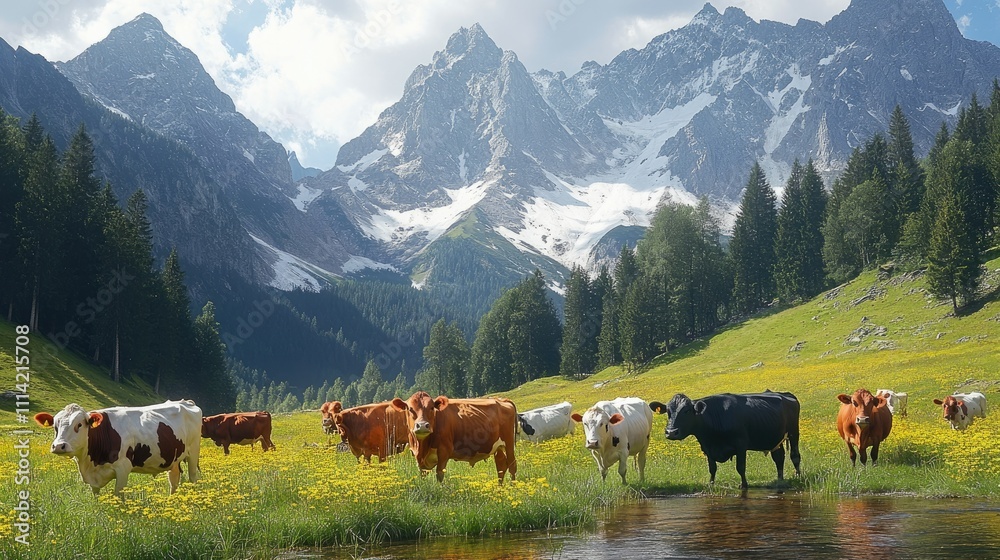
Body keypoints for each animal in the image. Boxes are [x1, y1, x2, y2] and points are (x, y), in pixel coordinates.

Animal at [34, 400, 202, 495]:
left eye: (79, 425)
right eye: (55, 425)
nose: (59, 446)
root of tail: (186, 401)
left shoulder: (123, 468)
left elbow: (118, 495)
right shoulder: (93, 477)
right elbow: (96, 496)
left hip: (193, 452)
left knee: (193, 477)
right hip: (173, 458)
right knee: (174, 479)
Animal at [650, 392, 801, 490]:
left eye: (687, 411)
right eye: (668, 411)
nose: (671, 432)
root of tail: (785, 394)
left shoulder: (741, 445)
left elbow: (740, 467)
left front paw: (744, 485)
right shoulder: (707, 447)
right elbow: (712, 468)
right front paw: (710, 484)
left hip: (794, 432)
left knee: (795, 456)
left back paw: (798, 476)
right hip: (776, 439)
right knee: (779, 458)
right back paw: (780, 480)